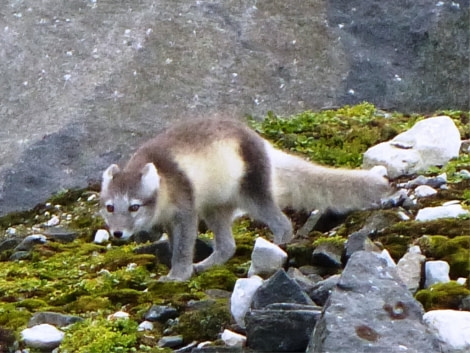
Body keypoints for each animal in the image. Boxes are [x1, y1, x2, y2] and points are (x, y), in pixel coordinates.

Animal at [101, 118, 392, 280]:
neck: (164, 184)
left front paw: (177, 276)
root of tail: (264, 144)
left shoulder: (186, 210)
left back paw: (278, 246)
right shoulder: (170, 221)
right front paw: (182, 270)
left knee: (282, 221)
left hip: (253, 193)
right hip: (215, 208)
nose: (117, 233)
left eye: (134, 206)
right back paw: (206, 266)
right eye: (110, 207)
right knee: (227, 246)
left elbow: (183, 248)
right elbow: (176, 245)